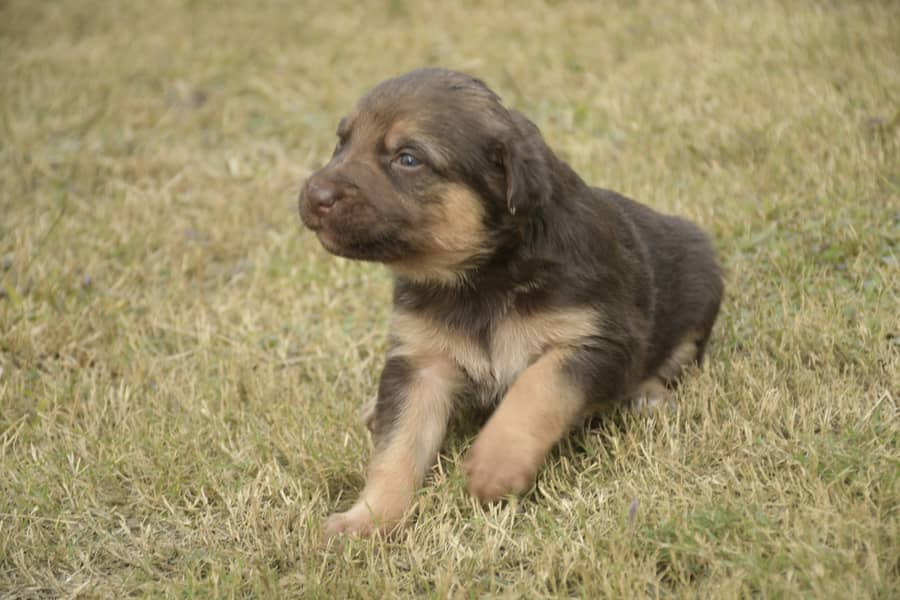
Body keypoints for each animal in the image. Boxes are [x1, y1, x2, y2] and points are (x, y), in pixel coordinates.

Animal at [300, 69, 724, 540]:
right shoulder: (420, 362)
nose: (313, 194)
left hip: (700, 290)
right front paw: (366, 519)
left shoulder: (596, 340)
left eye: (408, 158)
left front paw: (495, 464)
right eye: (341, 142)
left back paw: (649, 396)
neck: (480, 278)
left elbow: (536, 388)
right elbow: (396, 450)